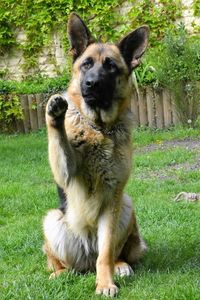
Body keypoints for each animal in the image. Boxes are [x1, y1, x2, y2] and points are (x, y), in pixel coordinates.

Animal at [43, 12, 148, 296]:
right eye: (86, 64)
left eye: (111, 66)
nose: (91, 84)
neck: (99, 128)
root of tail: (87, 257)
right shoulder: (67, 173)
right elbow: (60, 137)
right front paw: (55, 114)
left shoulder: (113, 197)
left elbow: (107, 252)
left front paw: (106, 283)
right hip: (52, 220)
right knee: (62, 264)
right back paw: (60, 274)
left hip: (125, 206)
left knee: (107, 254)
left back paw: (119, 266)